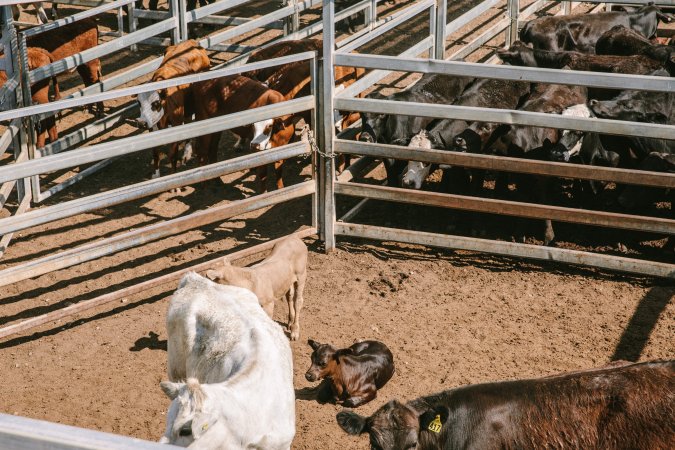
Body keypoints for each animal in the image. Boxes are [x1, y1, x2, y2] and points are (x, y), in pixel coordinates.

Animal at [136, 39, 210, 178]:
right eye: (139, 103)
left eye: (156, 103)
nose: (141, 123)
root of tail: (192, 42)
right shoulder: (152, 126)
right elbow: (155, 153)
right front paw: (156, 174)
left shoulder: (176, 124)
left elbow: (172, 155)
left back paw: (187, 153)